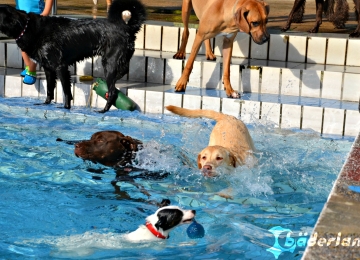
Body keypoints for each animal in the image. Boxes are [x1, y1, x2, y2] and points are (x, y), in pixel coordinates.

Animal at [0, 0, 146, 112]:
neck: (28, 27)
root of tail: (127, 28)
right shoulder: (48, 68)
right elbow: (49, 89)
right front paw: (45, 104)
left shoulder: (61, 67)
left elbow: (66, 91)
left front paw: (66, 107)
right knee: (123, 71)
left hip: (109, 63)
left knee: (113, 92)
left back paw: (103, 110)